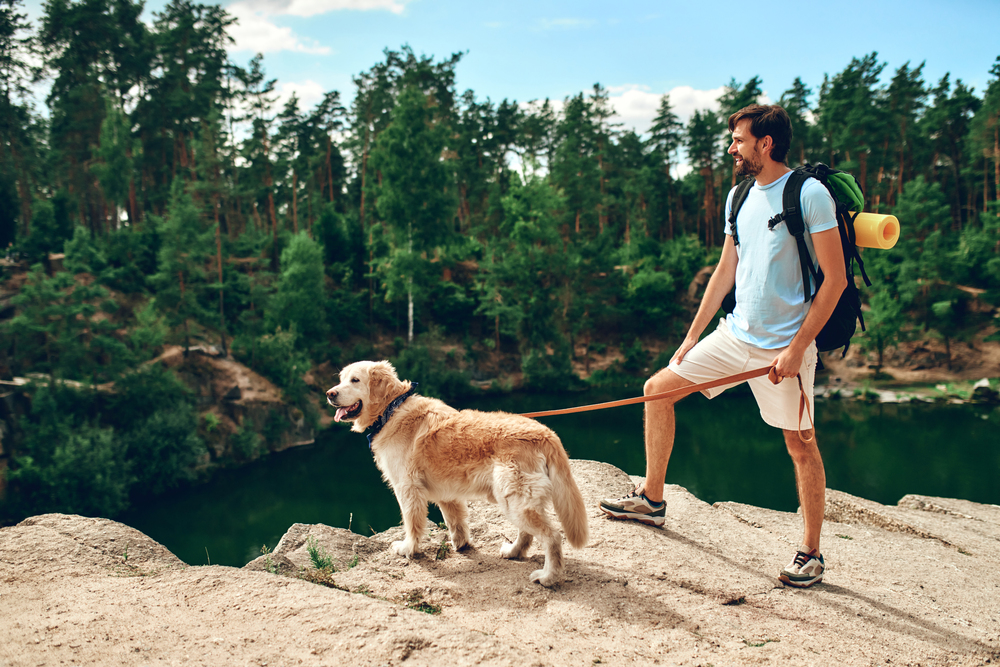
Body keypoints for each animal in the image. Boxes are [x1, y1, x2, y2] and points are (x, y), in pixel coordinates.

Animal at [324, 362, 588, 588]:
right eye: (341, 379)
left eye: (355, 380)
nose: (330, 393)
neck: (392, 410)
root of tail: (545, 433)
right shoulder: (446, 492)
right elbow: (455, 520)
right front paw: (461, 545)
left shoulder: (407, 488)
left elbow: (411, 523)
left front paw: (408, 548)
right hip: (516, 499)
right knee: (528, 533)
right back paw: (514, 551)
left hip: (515, 499)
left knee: (552, 536)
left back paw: (548, 577)